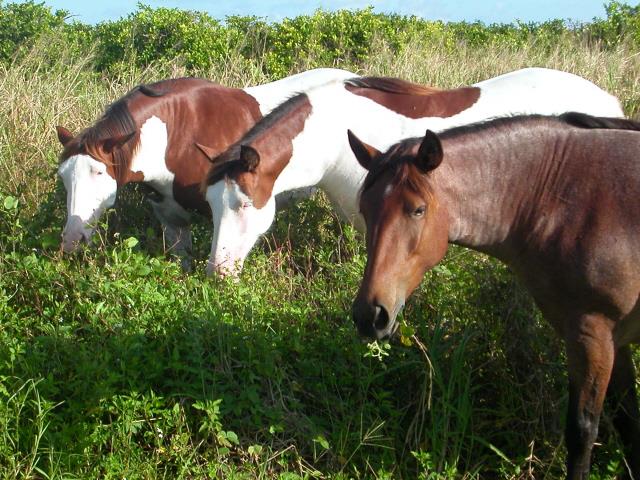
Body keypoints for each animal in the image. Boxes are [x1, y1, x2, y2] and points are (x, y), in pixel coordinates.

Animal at [348, 111, 640, 476]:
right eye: (364, 209)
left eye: (417, 210)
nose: (369, 315)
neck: (564, 198)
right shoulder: (616, 339)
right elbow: (629, 423)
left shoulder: (592, 336)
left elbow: (582, 432)